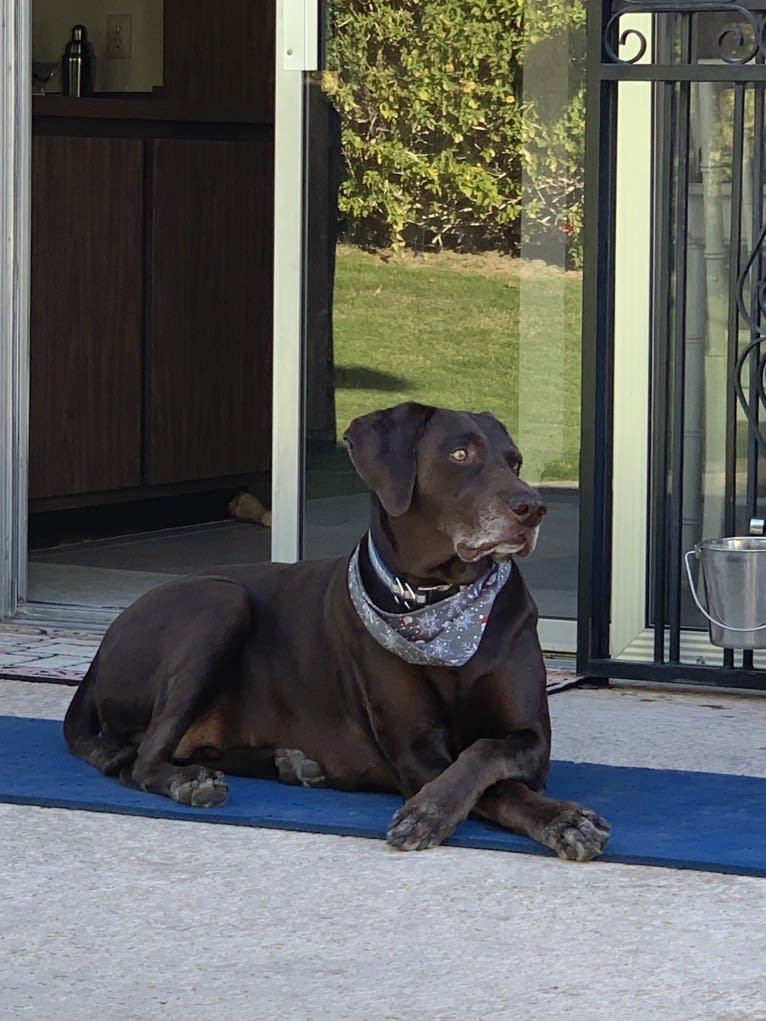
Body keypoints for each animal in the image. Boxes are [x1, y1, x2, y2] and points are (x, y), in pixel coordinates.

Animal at [63, 402, 608, 857]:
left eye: (514, 462)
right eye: (460, 453)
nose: (532, 507)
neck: (435, 600)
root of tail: (100, 650)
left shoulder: (531, 736)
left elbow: (486, 753)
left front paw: (557, 819)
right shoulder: (415, 749)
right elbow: (490, 779)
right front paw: (440, 811)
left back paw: (290, 763)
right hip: (218, 603)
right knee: (140, 761)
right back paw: (191, 781)